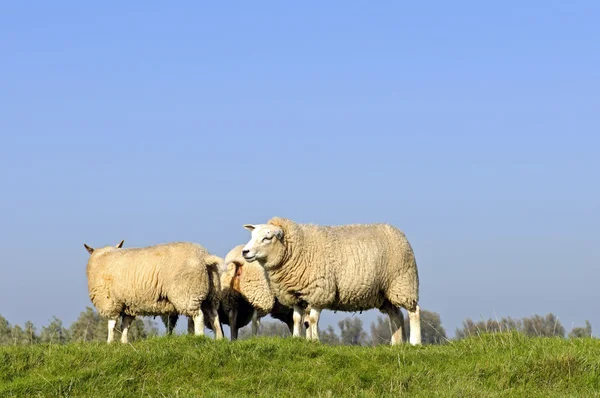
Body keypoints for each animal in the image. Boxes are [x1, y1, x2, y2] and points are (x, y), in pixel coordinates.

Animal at [83, 241, 224, 344]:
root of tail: (204, 256)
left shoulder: (109, 301)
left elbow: (111, 325)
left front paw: (109, 343)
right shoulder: (128, 303)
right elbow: (125, 325)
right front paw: (124, 343)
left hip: (187, 293)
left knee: (199, 316)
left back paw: (199, 337)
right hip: (211, 295)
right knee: (213, 316)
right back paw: (219, 339)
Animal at [240, 218, 422, 346]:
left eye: (267, 237)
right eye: (252, 236)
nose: (245, 252)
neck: (297, 249)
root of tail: (399, 233)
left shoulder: (319, 291)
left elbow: (313, 320)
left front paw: (314, 341)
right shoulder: (296, 295)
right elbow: (297, 319)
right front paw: (297, 339)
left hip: (403, 282)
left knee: (414, 311)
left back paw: (414, 343)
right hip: (385, 293)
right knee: (396, 316)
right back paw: (396, 345)